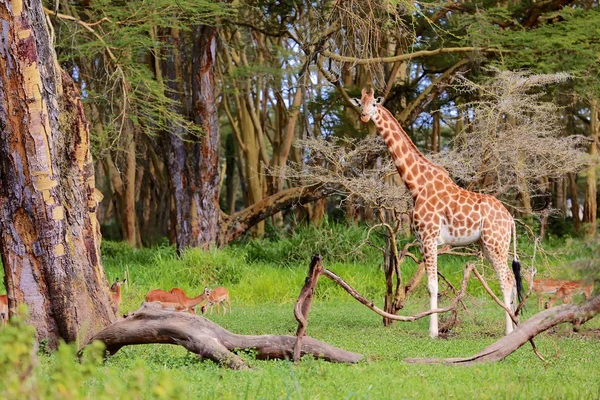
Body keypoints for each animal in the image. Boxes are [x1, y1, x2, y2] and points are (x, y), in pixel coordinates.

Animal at [350, 87, 524, 338]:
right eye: (360, 104)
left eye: (374, 103)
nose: (364, 116)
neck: (416, 184)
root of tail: (510, 218)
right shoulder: (423, 240)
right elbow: (430, 285)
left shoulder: (429, 237)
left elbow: (432, 285)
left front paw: (433, 332)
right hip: (488, 245)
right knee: (510, 278)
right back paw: (514, 328)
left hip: (496, 243)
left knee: (507, 280)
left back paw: (510, 332)